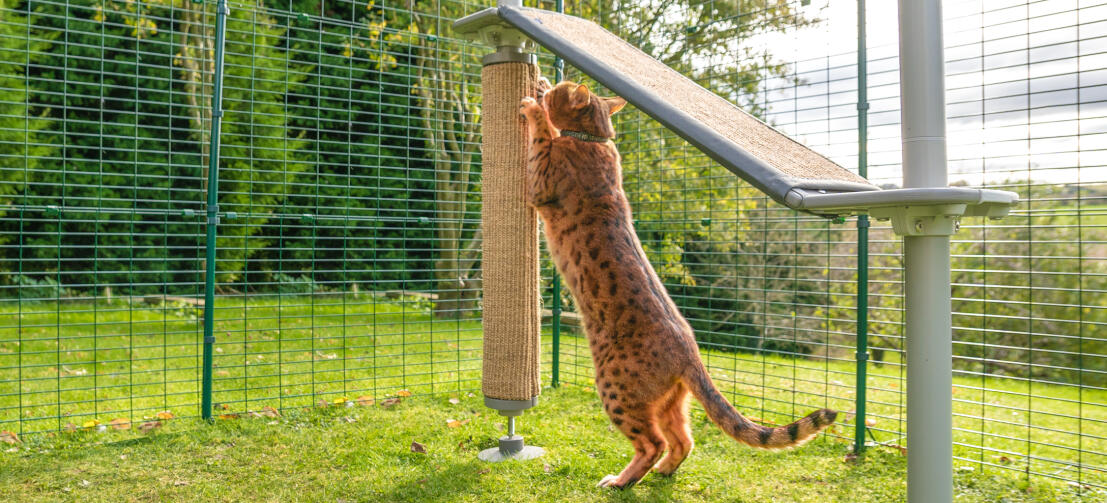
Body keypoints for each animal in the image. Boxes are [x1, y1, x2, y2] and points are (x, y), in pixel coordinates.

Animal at [518, 77, 836, 487]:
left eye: (561, 87)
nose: (547, 84)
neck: (597, 140)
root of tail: (691, 353)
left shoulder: (539, 183)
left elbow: (543, 136)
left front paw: (534, 106)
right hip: (671, 402)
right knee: (684, 440)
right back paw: (664, 471)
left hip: (616, 389)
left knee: (651, 443)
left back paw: (620, 481)